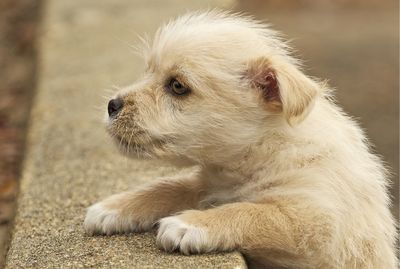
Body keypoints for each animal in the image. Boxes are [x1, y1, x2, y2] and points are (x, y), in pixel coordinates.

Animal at [83, 11, 396, 268]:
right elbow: (169, 186)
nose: (112, 105)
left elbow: (253, 212)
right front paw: (114, 207)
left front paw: (190, 224)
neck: (267, 149)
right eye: (149, 71)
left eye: (178, 86)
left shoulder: (316, 224)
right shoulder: (209, 183)